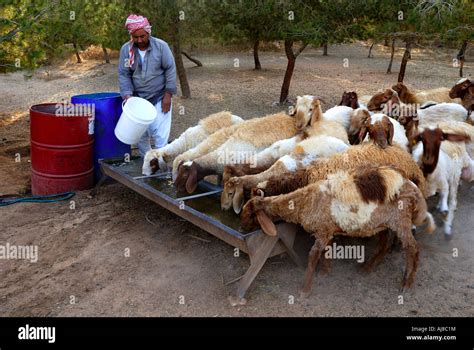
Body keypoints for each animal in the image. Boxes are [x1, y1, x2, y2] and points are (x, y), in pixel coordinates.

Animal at [239, 165, 436, 296]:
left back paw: (407, 284)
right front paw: (325, 273)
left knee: (413, 249)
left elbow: (313, 256)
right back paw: (367, 268)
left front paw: (305, 290)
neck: (304, 200)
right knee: (386, 243)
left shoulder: (322, 231)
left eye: (248, 212)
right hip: (383, 223)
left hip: (401, 220)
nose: (241, 227)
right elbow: (326, 252)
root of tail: (415, 190)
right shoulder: (326, 231)